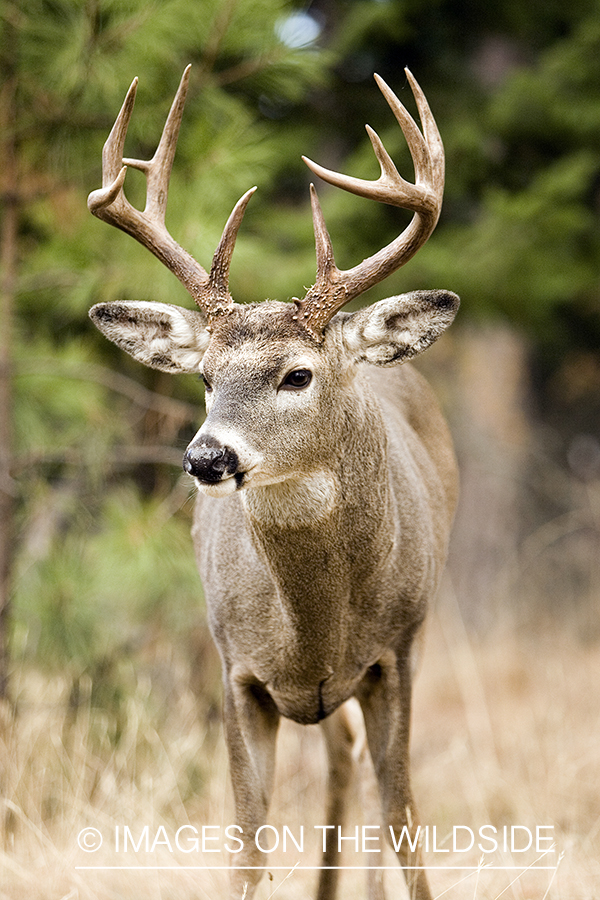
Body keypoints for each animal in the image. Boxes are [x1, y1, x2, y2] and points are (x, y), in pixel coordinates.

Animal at [88, 65, 459, 900]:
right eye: (203, 377)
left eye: (297, 374)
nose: (205, 458)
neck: (315, 629)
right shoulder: (236, 669)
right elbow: (248, 843)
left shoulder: (399, 653)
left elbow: (405, 818)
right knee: (340, 757)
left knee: (367, 779)